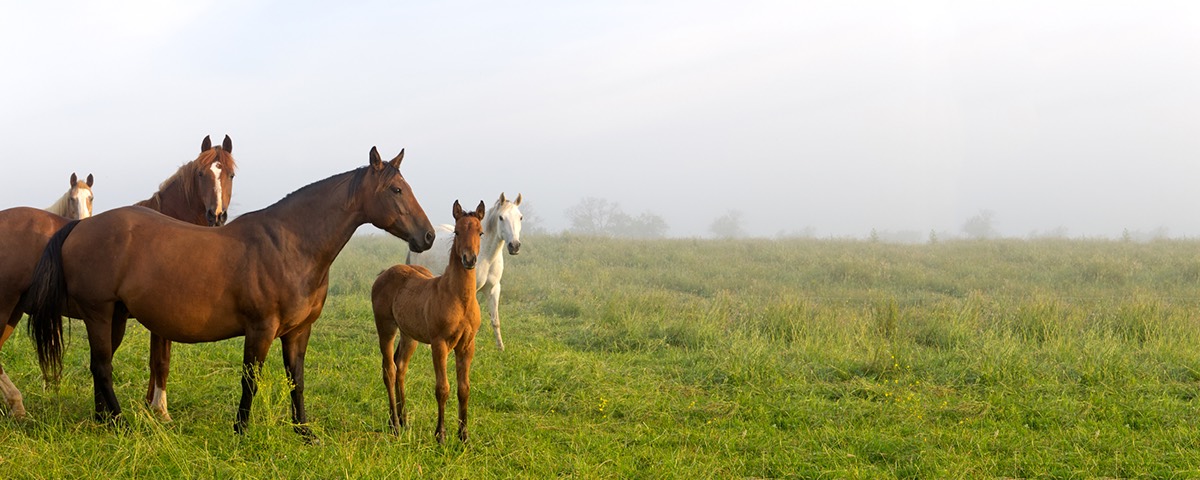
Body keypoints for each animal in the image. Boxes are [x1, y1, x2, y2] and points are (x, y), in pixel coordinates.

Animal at [0, 133, 235, 415]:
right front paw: (160, 409)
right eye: (201, 173)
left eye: (231, 174)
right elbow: (161, 360)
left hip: (14, 310)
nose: (217, 215)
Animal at [27, 147, 436, 441]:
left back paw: (105, 421)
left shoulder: (297, 332)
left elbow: (297, 381)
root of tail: (79, 227)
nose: (428, 235)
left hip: (113, 317)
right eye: (396, 189)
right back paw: (120, 422)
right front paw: (241, 431)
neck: (291, 244)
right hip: (99, 314)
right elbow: (250, 380)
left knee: (100, 365)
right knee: (102, 366)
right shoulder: (261, 329)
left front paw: (305, 433)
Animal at [374, 199, 487, 441]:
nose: (469, 260)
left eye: (481, 232)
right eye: (456, 231)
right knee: (389, 370)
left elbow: (464, 389)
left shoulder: (467, 345)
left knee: (401, 367)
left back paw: (404, 420)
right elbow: (442, 388)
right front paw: (441, 435)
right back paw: (394, 424)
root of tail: (385, 272)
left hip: (409, 336)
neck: (459, 298)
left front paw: (464, 436)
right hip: (386, 328)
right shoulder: (439, 344)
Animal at [408, 193, 520, 350]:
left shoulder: (494, 289)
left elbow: (495, 320)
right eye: (501, 217)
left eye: (520, 217)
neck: (487, 256)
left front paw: (501, 348)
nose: (514, 246)